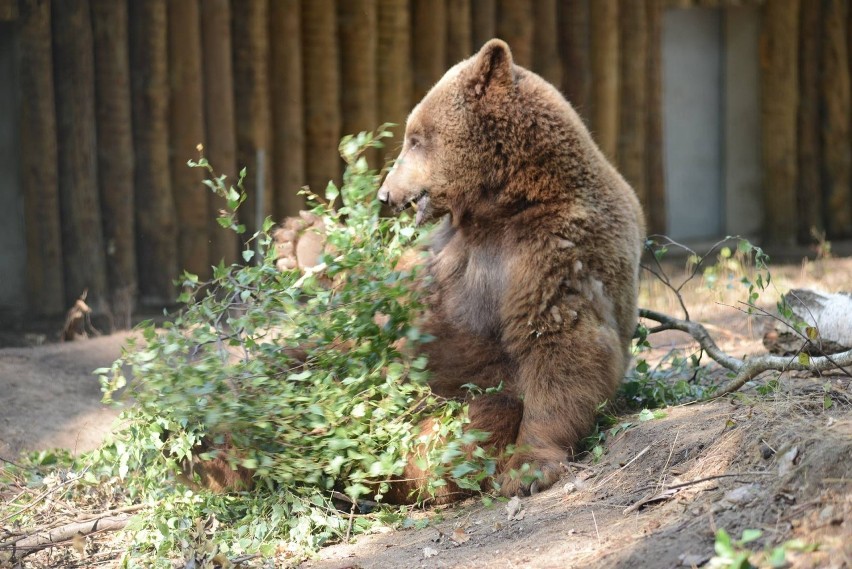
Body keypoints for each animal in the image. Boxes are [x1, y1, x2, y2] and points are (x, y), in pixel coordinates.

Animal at [380, 37, 644, 496]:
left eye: (416, 138)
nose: (385, 194)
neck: (502, 202)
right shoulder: (449, 254)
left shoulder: (553, 251)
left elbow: (560, 347)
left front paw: (527, 469)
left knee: (470, 422)